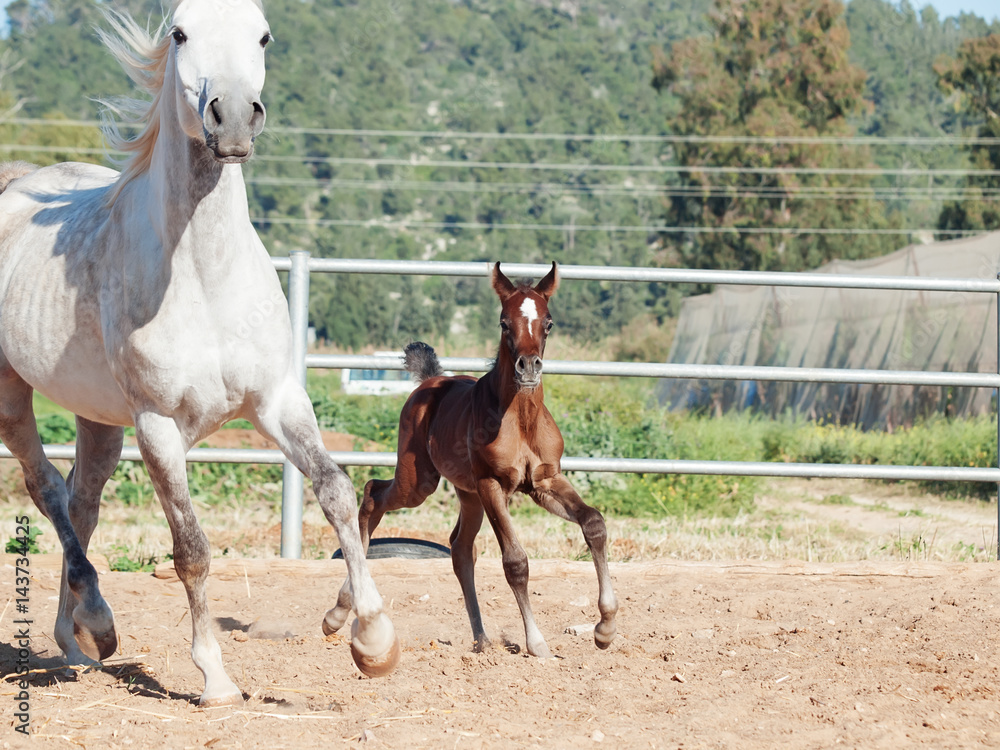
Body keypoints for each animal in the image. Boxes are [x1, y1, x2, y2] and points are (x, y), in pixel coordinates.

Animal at [0, 1, 399, 705]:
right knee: (46, 487)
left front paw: (373, 637)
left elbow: (336, 491)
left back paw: (81, 639)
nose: (233, 117)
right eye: (180, 33)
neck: (205, 275)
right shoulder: (159, 428)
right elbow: (191, 549)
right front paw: (214, 676)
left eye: (263, 35)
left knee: (82, 499)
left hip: (98, 419)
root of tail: (18, 183)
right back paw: (94, 618)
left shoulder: (277, 400)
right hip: (11, 394)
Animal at [323, 262, 619, 658]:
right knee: (373, 494)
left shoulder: (544, 482)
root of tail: (431, 381)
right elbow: (515, 561)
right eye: (504, 323)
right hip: (419, 481)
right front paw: (537, 643)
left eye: (549, 322)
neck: (522, 420)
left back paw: (482, 639)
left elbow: (594, 523)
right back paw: (338, 612)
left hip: (467, 494)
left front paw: (605, 629)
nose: (529, 368)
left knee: (460, 548)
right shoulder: (492, 483)